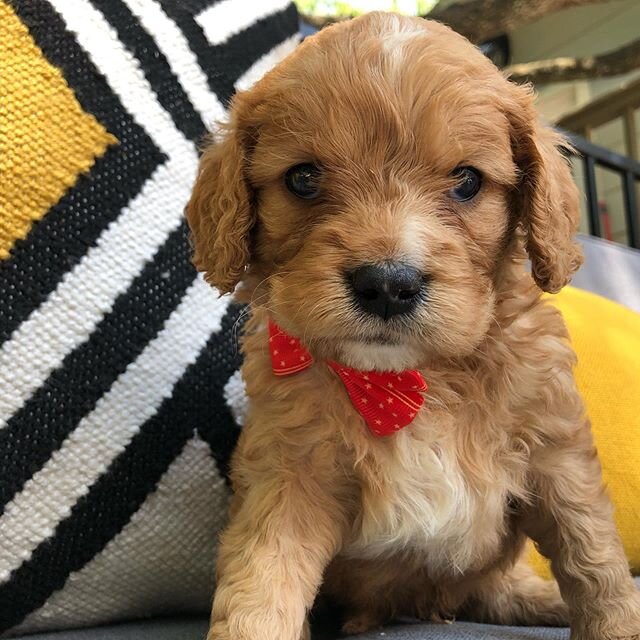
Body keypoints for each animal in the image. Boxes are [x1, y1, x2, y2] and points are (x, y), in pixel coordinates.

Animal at [184, 11, 640, 640]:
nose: (386, 284)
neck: (411, 380)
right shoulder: (288, 473)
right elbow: (262, 580)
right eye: (303, 178)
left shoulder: (556, 453)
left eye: (467, 181)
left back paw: (538, 599)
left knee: (497, 589)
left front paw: (616, 622)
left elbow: (594, 559)